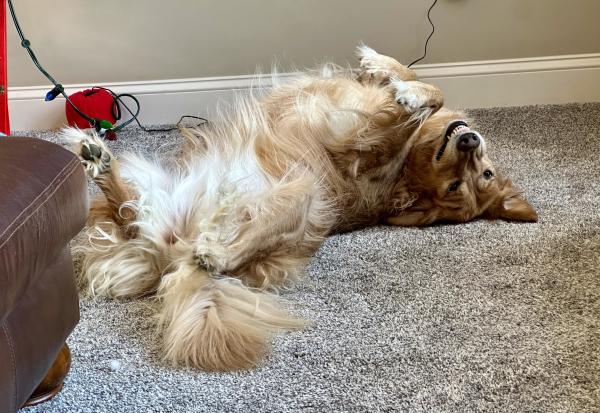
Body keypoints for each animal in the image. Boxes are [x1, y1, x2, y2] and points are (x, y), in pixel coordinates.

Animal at [63, 45, 536, 370]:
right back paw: (98, 158)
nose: (470, 139)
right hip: (154, 187)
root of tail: (175, 252)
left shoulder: (357, 142)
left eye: (462, 182)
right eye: (481, 173)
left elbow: (428, 95)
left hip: (305, 193)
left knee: (201, 234)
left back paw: (213, 248)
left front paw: (405, 92)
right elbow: (417, 78)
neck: (405, 171)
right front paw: (383, 69)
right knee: (129, 214)